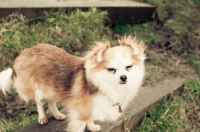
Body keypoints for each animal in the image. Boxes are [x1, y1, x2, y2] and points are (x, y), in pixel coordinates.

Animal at [0, 35, 145, 131]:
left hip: (52, 88)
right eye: (111, 69)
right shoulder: (80, 115)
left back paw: (57, 114)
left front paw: (92, 127)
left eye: (128, 67)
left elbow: (90, 118)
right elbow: (82, 123)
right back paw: (42, 118)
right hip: (39, 91)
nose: (124, 77)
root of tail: (23, 54)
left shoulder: (88, 108)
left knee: (51, 102)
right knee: (40, 104)